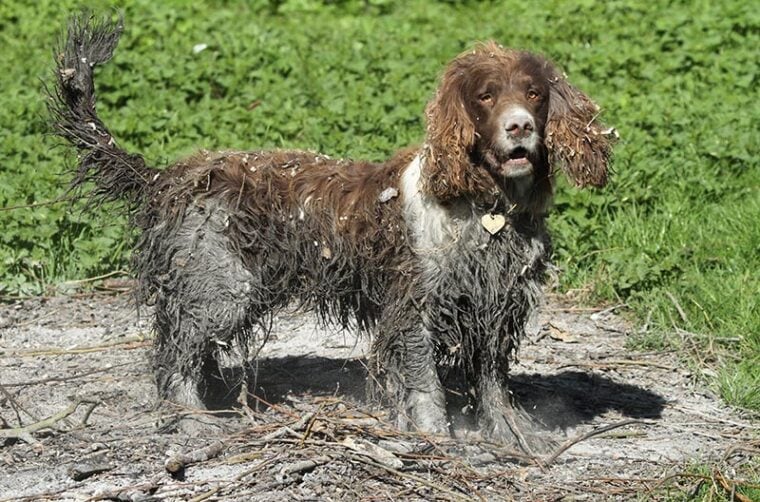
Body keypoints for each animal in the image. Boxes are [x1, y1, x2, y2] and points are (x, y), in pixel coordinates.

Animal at [47, 14, 616, 452]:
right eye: (486, 96)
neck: (484, 207)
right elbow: (426, 386)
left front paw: (512, 434)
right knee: (173, 358)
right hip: (220, 290)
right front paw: (437, 437)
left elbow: (494, 385)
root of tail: (166, 177)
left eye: (535, 94)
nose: (520, 126)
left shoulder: (497, 306)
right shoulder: (415, 308)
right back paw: (194, 421)